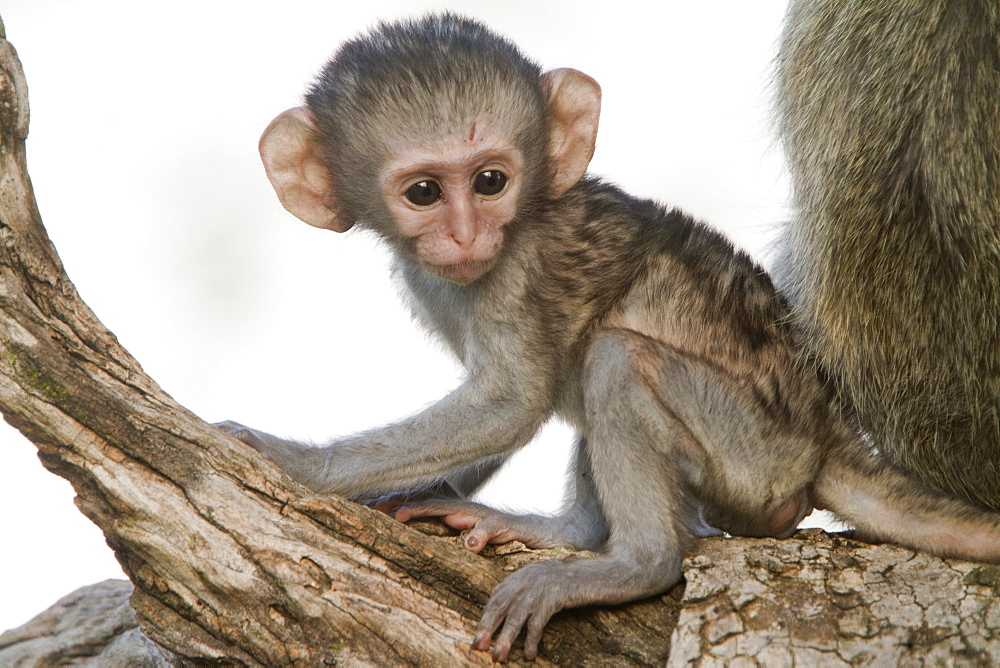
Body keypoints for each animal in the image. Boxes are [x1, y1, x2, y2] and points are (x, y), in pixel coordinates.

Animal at [223, 14, 1000, 664]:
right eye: (423, 193)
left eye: (491, 181)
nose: (467, 236)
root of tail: (825, 427)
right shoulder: (432, 283)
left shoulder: (516, 269)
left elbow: (507, 405)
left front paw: (294, 463)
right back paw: (567, 535)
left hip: (755, 454)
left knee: (614, 357)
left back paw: (633, 564)